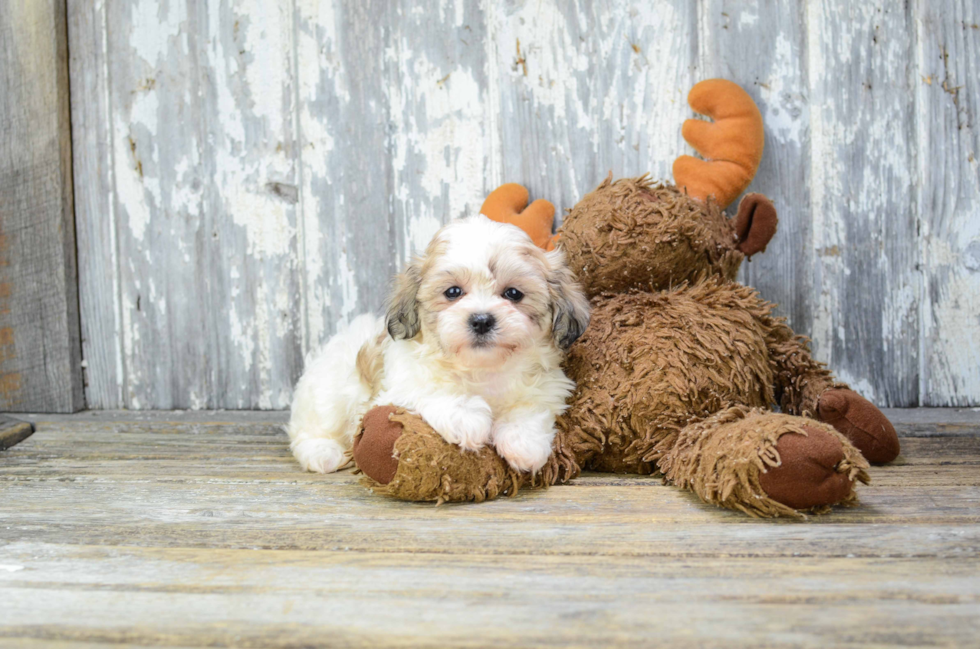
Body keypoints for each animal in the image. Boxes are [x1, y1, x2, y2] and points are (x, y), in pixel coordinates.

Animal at [286, 215, 588, 474]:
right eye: (453, 292)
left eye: (513, 293)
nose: (481, 320)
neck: (482, 369)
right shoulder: (397, 387)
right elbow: (431, 390)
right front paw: (466, 417)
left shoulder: (547, 387)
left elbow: (530, 409)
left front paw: (524, 443)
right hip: (329, 392)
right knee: (311, 428)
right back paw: (322, 452)